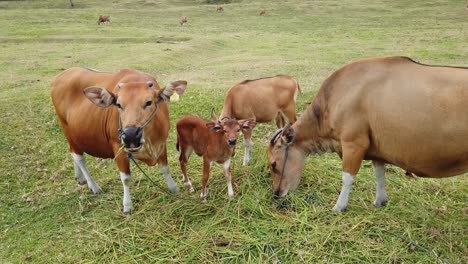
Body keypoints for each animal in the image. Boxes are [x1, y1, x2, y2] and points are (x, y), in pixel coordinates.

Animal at [51, 66, 188, 214]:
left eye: (148, 102)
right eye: (118, 105)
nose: (130, 134)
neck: (148, 142)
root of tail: (59, 76)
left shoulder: (162, 144)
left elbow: (165, 168)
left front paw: (174, 189)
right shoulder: (118, 148)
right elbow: (126, 179)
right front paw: (127, 206)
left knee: (72, 153)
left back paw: (80, 177)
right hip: (67, 130)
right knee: (78, 157)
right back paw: (94, 186)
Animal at [266, 55, 468, 212]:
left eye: (273, 165)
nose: (276, 194)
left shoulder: (354, 144)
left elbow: (347, 177)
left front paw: (339, 206)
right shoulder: (377, 151)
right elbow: (379, 174)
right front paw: (380, 201)